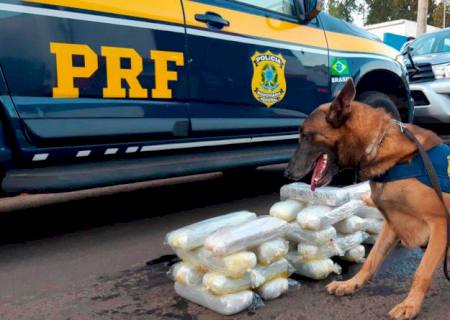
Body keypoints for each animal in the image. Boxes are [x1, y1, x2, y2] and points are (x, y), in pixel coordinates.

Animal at [286, 78, 448, 320]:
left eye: (305, 136)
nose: (286, 172)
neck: (380, 148)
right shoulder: (392, 224)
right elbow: (371, 261)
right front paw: (350, 284)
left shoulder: (440, 224)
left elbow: (422, 272)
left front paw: (410, 304)